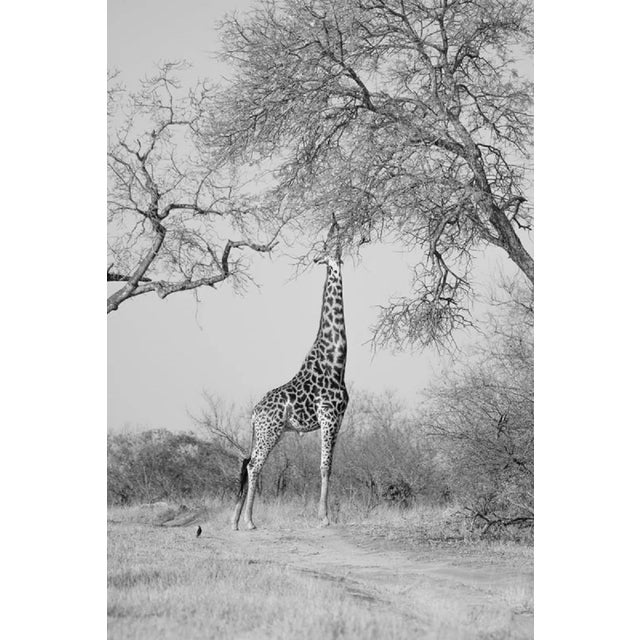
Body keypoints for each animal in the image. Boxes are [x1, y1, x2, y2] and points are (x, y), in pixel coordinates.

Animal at [232, 238, 349, 531]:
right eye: (329, 250)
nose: (334, 260)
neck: (336, 361)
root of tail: (254, 413)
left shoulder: (339, 418)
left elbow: (330, 466)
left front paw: (324, 515)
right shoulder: (328, 416)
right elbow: (324, 465)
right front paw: (324, 517)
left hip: (264, 431)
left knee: (247, 461)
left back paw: (235, 520)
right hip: (270, 430)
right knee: (254, 465)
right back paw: (249, 521)